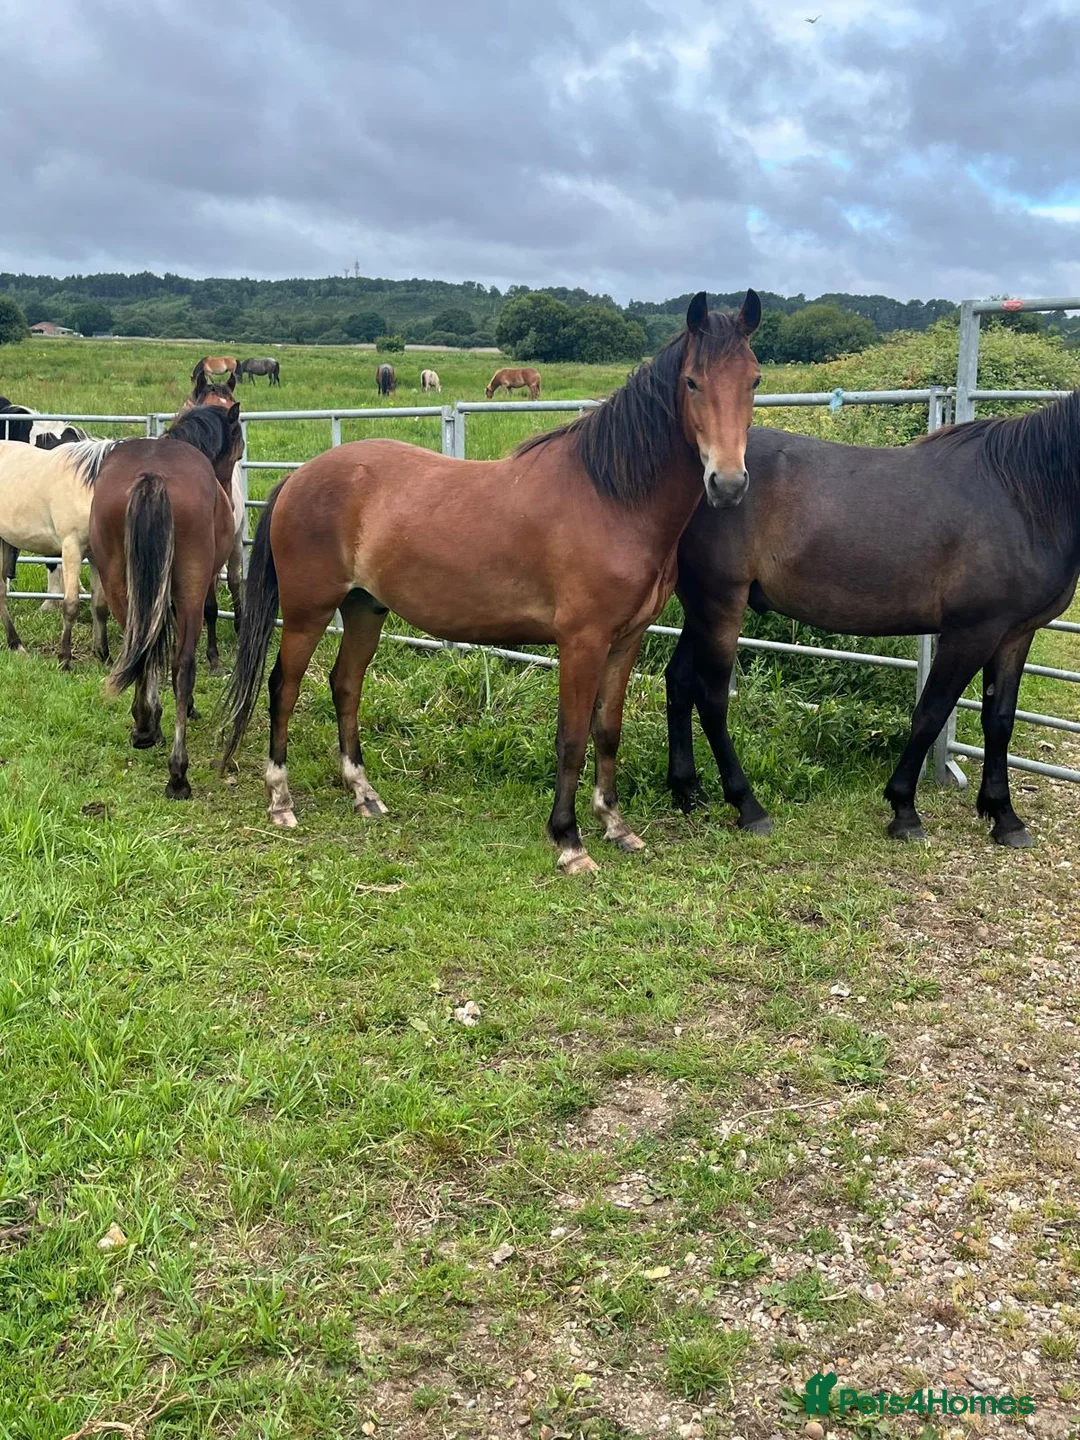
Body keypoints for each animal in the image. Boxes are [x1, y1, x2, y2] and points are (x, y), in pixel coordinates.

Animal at [0, 438, 116, 666]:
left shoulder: (95, 556)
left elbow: (99, 606)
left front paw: (104, 655)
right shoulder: (71, 548)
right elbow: (70, 604)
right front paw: (64, 659)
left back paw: (16, 644)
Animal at [90, 402, 243, 799]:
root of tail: (152, 475)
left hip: (120, 583)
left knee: (139, 649)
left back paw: (145, 727)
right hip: (189, 586)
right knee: (182, 665)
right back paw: (178, 773)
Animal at [220, 290, 761, 873]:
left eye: (753, 379)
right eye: (692, 382)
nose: (728, 483)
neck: (612, 499)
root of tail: (298, 477)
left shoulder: (626, 642)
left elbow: (607, 731)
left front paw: (616, 825)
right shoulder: (582, 641)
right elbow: (572, 737)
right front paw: (569, 840)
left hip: (365, 608)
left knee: (345, 685)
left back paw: (364, 793)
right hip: (307, 612)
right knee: (285, 687)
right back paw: (280, 799)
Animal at [665, 394, 1080, 849]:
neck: (1022, 496)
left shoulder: (1014, 634)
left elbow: (999, 720)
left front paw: (1004, 816)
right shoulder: (970, 632)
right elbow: (931, 714)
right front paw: (904, 811)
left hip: (701, 608)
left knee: (679, 681)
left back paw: (688, 791)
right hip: (720, 602)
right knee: (711, 697)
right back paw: (748, 806)